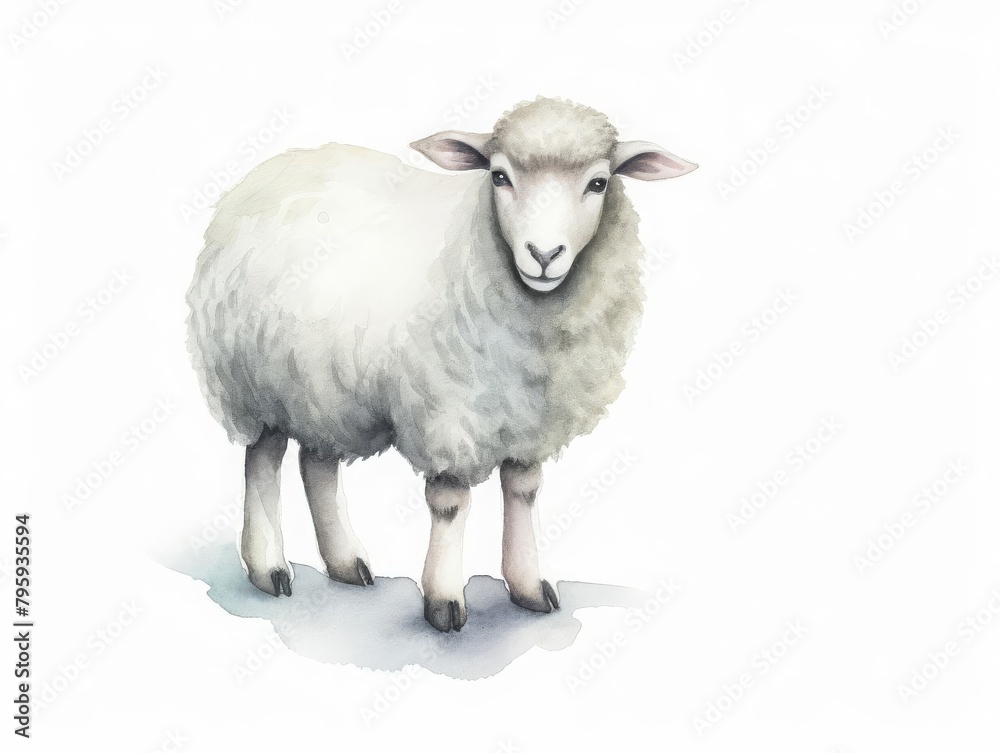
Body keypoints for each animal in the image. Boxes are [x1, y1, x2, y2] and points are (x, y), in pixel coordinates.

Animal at [186, 96, 696, 632]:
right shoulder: (448, 414)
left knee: (317, 463)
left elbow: (523, 491)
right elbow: (451, 505)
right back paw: (269, 568)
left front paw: (529, 586)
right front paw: (444, 601)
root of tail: (269, 170)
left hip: (324, 385)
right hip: (253, 378)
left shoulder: (529, 417)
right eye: (499, 177)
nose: (543, 254)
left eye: (598, 183)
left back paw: (346, 562)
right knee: (263, 461)